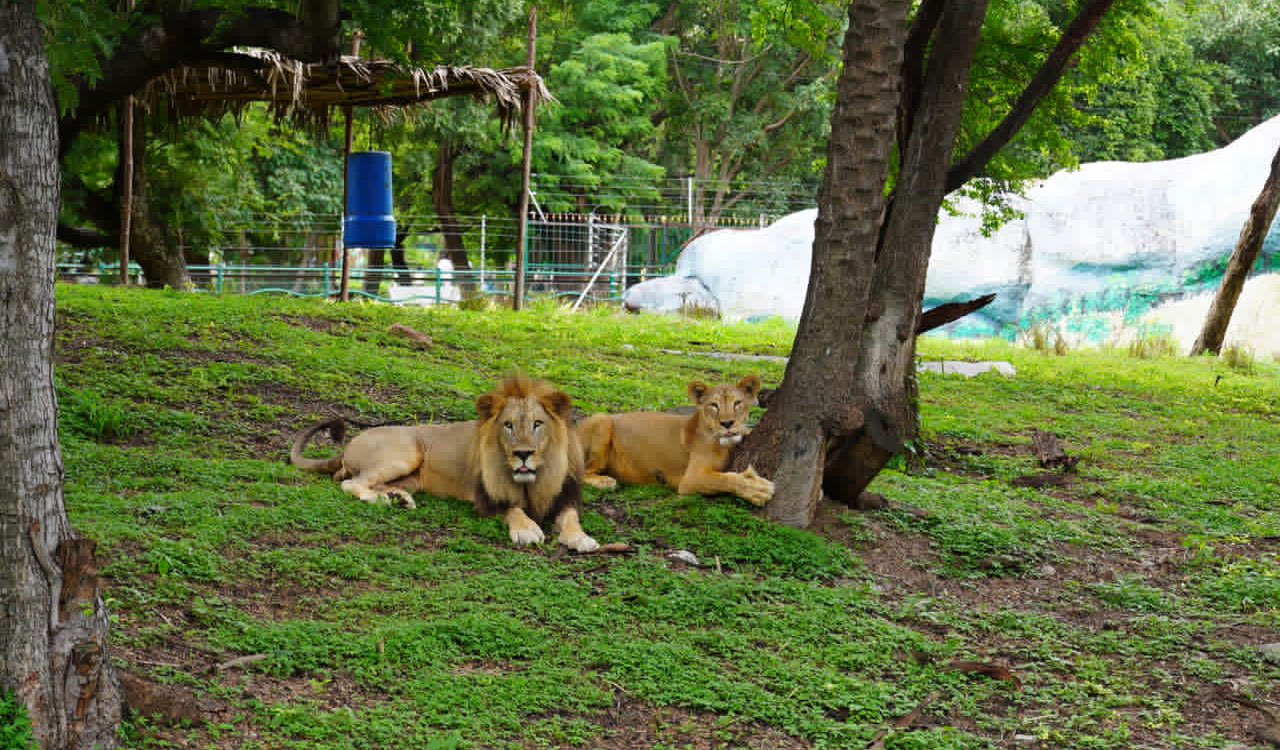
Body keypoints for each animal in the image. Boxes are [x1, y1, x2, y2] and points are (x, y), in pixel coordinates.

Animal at [289, 375, 599, 552]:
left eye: (537, 424)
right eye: (508, 425)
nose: (523, 454)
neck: (535, 479)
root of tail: (349, 444)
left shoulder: (565, 496)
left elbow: (571, 518)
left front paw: (581, 538)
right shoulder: (486, 497)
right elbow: (512, 508)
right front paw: (527, 530)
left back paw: (399, 498)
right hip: (407, 452)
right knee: (351, 483)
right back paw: (382, 499)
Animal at [577, 374, 774, 506]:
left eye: (737, 403)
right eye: (714, 405)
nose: (727, 424)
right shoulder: (690, 479)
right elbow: (725, 479)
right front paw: (757, 489)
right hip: (602, 419)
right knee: (583, 471)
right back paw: (605, 482)